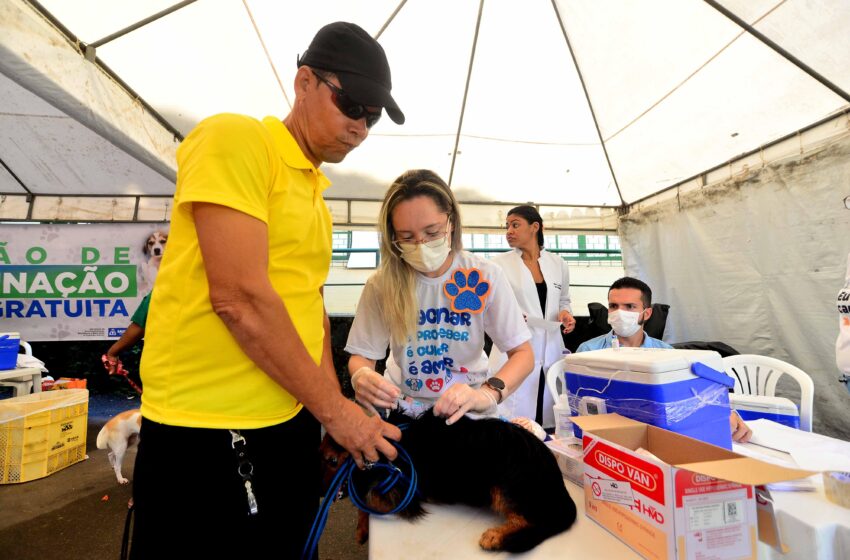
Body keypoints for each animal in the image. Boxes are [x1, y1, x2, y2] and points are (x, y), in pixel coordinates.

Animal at [318, 410, 576, 552]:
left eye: (332, 461)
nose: (320, 493)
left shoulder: (405, 495)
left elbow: (368, 499)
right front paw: (362, 529)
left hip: (505, 484)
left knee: (529, 520)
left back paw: (495, 536)